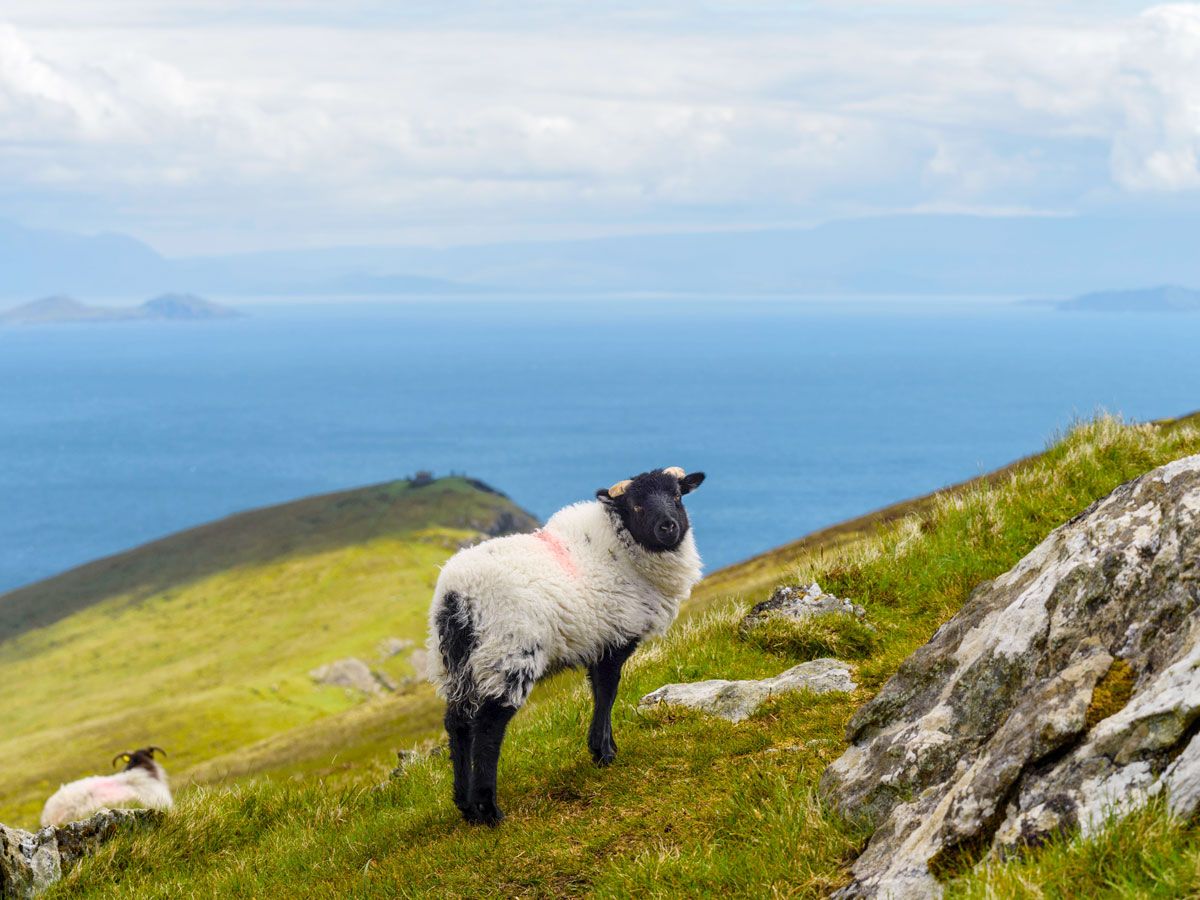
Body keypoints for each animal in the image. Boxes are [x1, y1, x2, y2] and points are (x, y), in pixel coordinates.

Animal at [426, 466, 706, 825]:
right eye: (637, 506)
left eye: (676, 496)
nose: (668, 527)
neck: (622, 548)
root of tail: (456, 596)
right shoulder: (613, 640)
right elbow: (607, 693)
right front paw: (603, 753)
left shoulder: (599, 643)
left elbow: (601, 693)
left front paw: (606, 748)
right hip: (507, 656)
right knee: (488, 727)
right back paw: (489, 811)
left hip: (457, 665)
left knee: (458, 724)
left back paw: (465, 806)